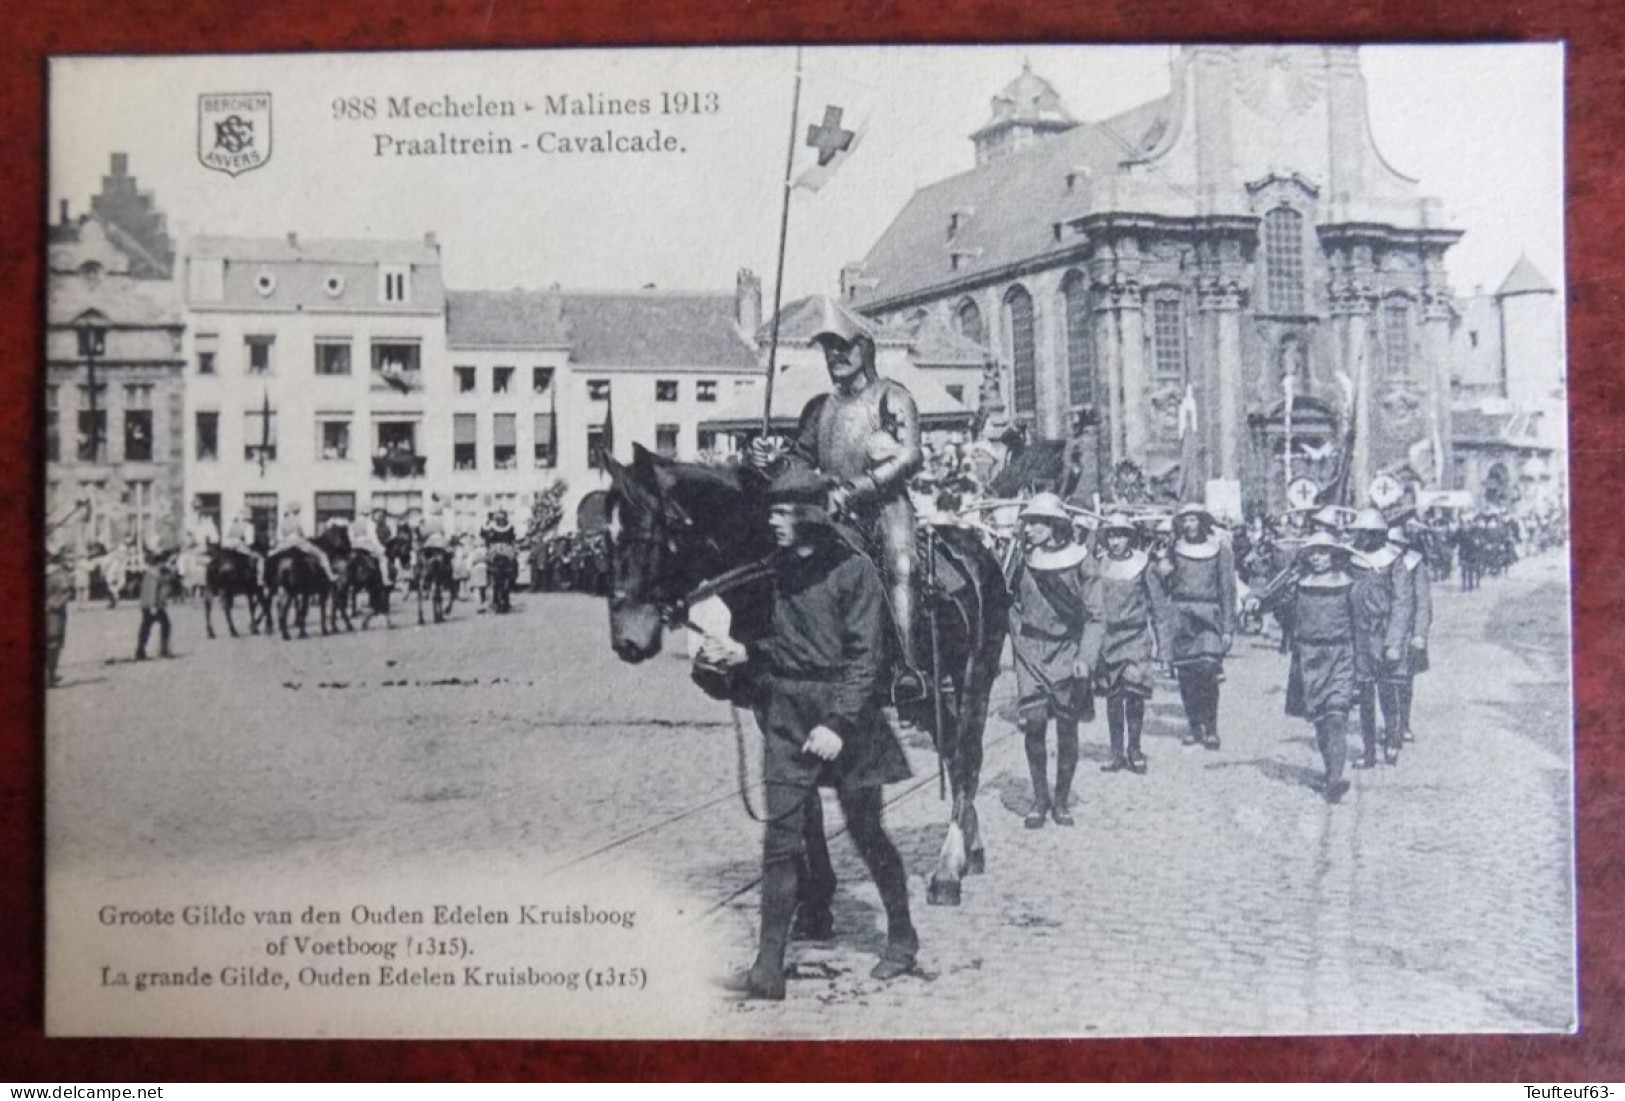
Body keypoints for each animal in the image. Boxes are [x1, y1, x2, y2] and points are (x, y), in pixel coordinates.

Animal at [604, 444, 1007, 909]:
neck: (780, 568)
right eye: (607, 536)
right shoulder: (772, 707)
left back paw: (947, 870)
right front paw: (816, 895)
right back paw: (971, 850)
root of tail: (977, 550)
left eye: (651, 532)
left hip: (975, 677)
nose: (626, 639)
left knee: (967, 756)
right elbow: (803, 794)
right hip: (929, 701)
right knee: (954, 753)